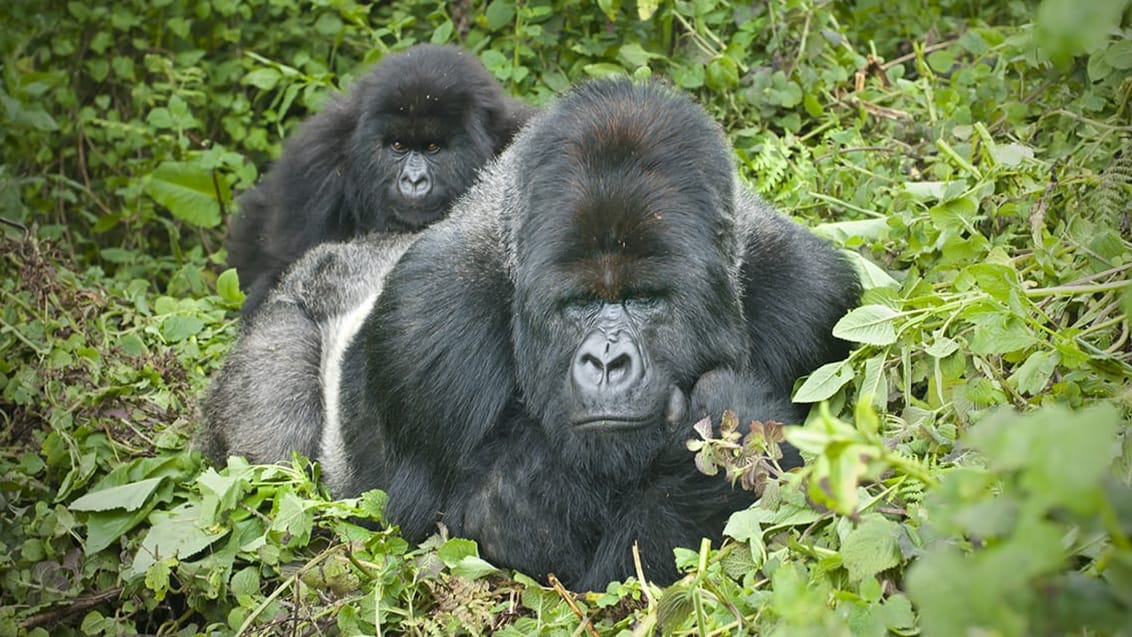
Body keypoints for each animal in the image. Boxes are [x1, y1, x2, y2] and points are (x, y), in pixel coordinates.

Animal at [201, 77, 855, 592]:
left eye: (644, 299)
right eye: (580, 303)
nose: (607, 362)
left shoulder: (812, 300)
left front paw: (727, 427)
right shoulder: (424, 326)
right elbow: (475, 532)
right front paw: (727, 421)